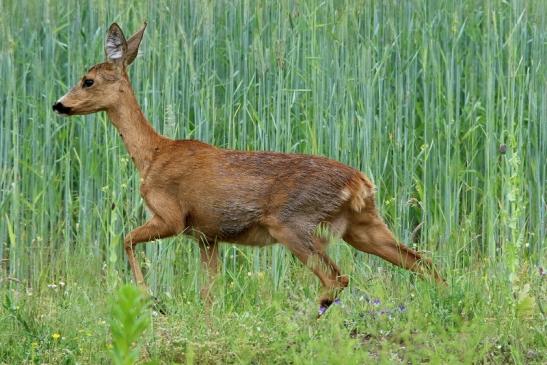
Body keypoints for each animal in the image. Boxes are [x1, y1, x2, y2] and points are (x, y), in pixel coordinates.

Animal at [52, 21, 446, 314]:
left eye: (87, 80)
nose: (58, 104)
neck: (152, 154)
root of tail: (360, 181)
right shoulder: (207, 235)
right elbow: (209, 292)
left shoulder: (172, 216)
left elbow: (126, 239)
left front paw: (149, 297)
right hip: (363, 226)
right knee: (422, 262)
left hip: (293, 223)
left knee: (338, 278)